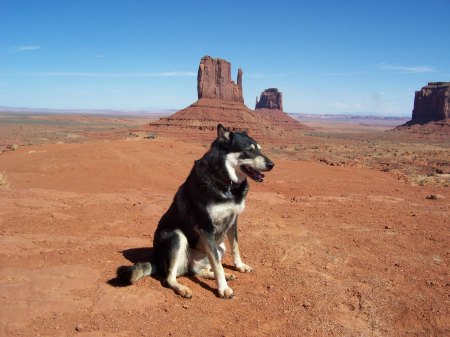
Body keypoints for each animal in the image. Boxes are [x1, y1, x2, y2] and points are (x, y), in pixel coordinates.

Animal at [116, 123, 274, 296]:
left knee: (198, 271)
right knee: (169, 278)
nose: (272, 165)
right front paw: (223, 289)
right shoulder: (205, 227)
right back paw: (183, 289)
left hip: (219, 246)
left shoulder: (233, 220)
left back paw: (226, 274)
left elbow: (235, 247)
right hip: (176, 236)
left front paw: (239, 266)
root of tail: (155, 260)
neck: (225, 181)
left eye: (259, 149)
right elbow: (217, 264)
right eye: (249, 150)